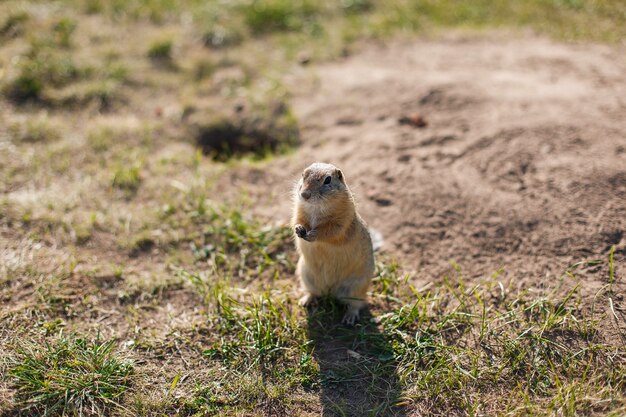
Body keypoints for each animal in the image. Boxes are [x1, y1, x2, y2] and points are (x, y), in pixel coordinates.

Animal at [292, 162, 372, 322]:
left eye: (327, 180)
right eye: (303, 175)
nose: (305, 194)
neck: (316, 207)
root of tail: (330, 292)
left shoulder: (342, 221)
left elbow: (331, 231)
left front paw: (313, 234)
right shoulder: (298, 211)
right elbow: (297, 221)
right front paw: (299, 229)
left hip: (357, 288)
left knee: (356, 304)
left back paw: (349, 318)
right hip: (306, 276)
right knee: (314, 292)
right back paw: (305, 301)